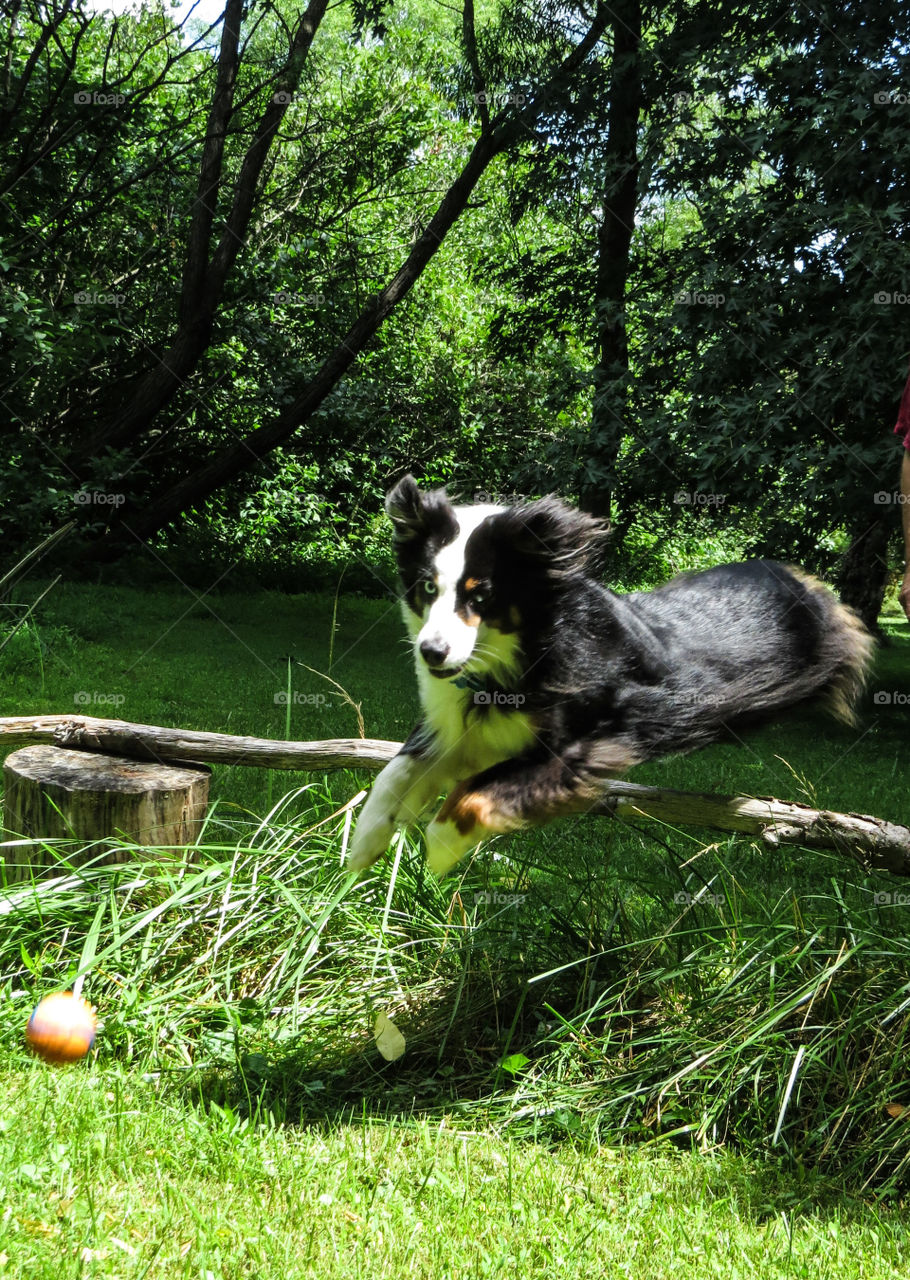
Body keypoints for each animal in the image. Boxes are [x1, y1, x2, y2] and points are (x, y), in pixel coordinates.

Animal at [345, 476, 870, 875]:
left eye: (481, 595)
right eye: (428, 588)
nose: (431, 653)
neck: (514, 653)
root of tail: (802, 580)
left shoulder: (591, 737)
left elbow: (476, 793)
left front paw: (438, 850)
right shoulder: (457, 724)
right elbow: (398, 769)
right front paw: (365, 842)